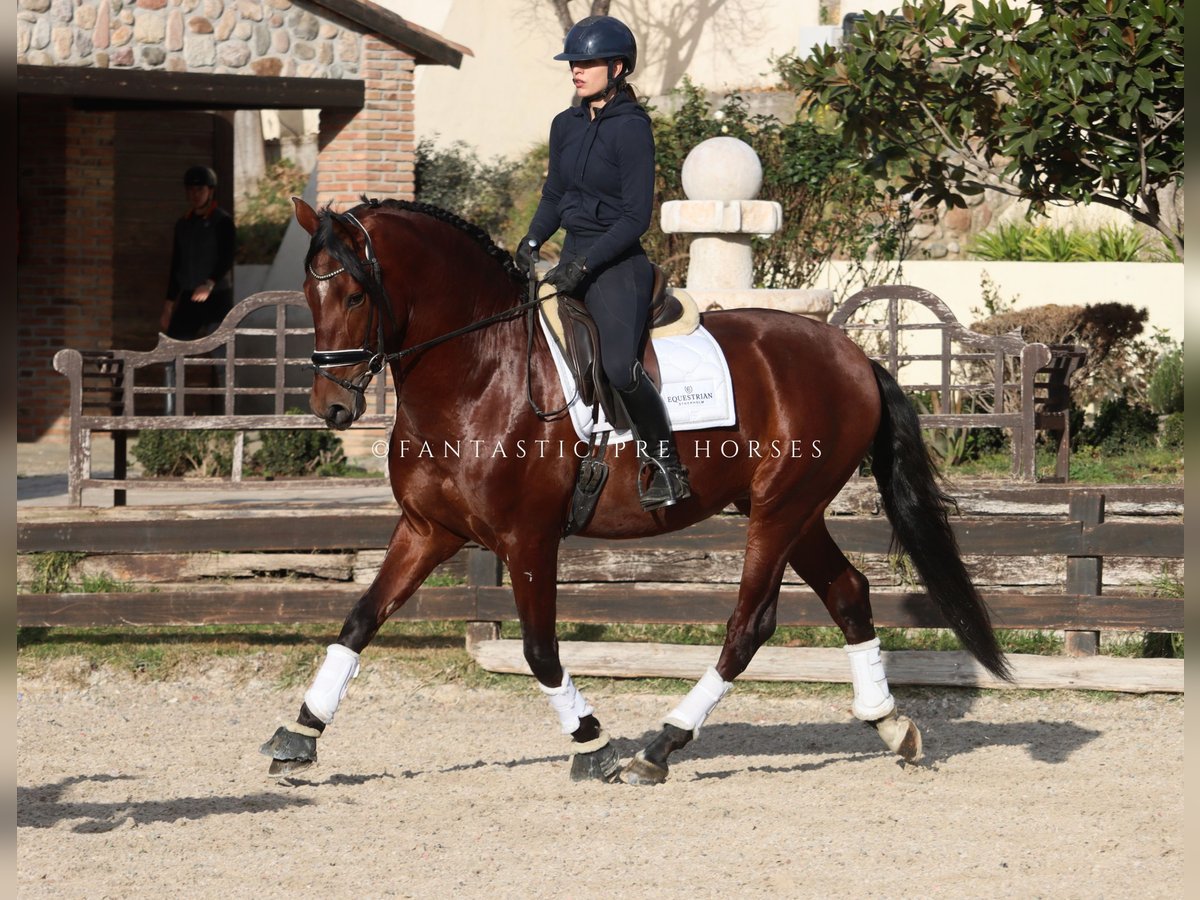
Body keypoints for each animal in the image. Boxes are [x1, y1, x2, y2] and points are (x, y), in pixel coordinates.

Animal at [262, 195, 1012, 782]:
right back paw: (890, 726)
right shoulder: (428, 530)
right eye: (309, 294)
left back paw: (662, 745)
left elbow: (539, 651)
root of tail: (854, 356)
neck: (480, 372)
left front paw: (592, 743)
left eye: (355, 294)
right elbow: (359, 621)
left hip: (780, 509)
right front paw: (299, 734)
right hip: (792, 511)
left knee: (750, 624)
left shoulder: (527, 538)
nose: (331, 408)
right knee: (848, 593)